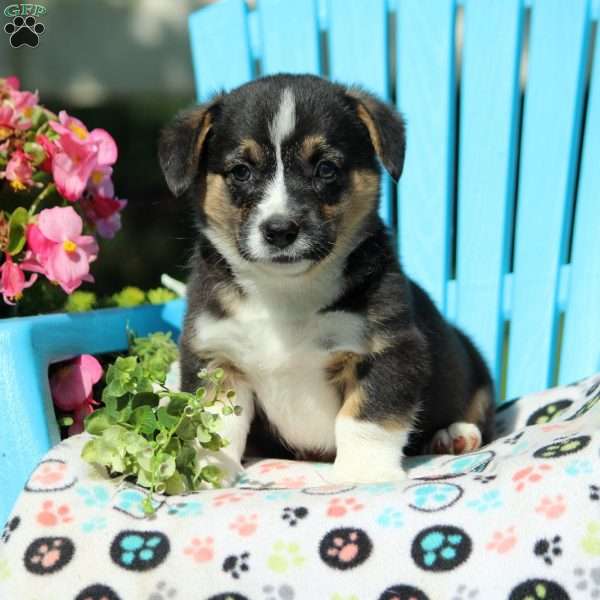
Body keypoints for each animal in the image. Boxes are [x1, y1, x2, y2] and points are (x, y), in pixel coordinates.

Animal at [158, 74, 492, 482]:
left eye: (326, 168)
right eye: (241, 171)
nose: (280, 230)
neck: (284, 292)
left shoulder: (388, 350)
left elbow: (365, 418)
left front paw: (364, 475)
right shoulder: (217, 356)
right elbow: (215, 425)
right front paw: (208, 471)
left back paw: (455, 435)